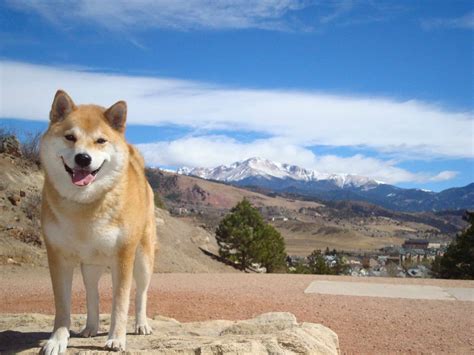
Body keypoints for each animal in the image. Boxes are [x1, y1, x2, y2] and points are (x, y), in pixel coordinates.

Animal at [40, 90, 156, 354]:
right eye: (70, 137)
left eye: (101, 141)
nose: (83, 158)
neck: (84, 207)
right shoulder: (58, 257)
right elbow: (62, 306)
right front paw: (57, 340)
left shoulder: (123, 257)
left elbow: (120, 303)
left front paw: (116, 339)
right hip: (90, 266)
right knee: (92, 295)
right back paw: (90, 328)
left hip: (143, 259)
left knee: (141, 294)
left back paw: (141, 324)